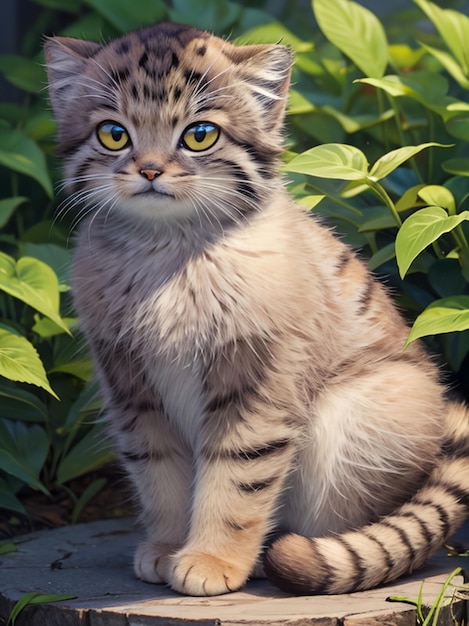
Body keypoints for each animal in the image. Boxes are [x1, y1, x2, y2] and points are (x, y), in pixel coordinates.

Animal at [44, 20, 468, 596]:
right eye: (114, 134)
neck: (168, 251)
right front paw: (169, 547)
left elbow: (237, 476)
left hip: (359, 414)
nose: (150, 170)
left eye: (199, 135)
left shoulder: (256, 377)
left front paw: (212, 559)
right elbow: (160, 473)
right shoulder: (131, 386)